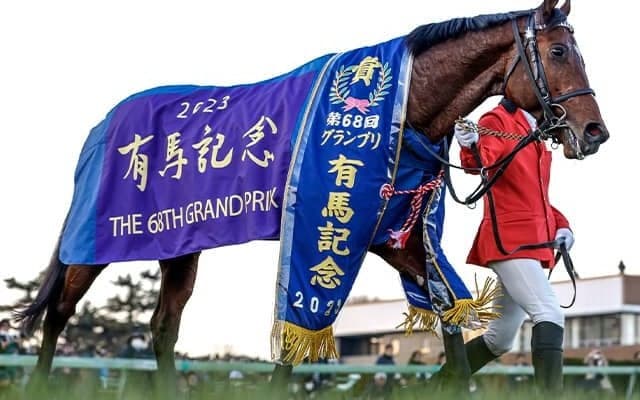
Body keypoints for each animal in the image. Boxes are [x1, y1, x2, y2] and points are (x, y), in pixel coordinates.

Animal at [18, 0, 608, 396]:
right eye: (559, 51)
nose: (594, 132)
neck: (402, 109)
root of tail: (101, 126)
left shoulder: (395, 235)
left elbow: (449, 315)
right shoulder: (326, 221)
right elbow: (300, 326)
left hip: (179, 244)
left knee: (164, 330)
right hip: (100, 240)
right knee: (60, 312)